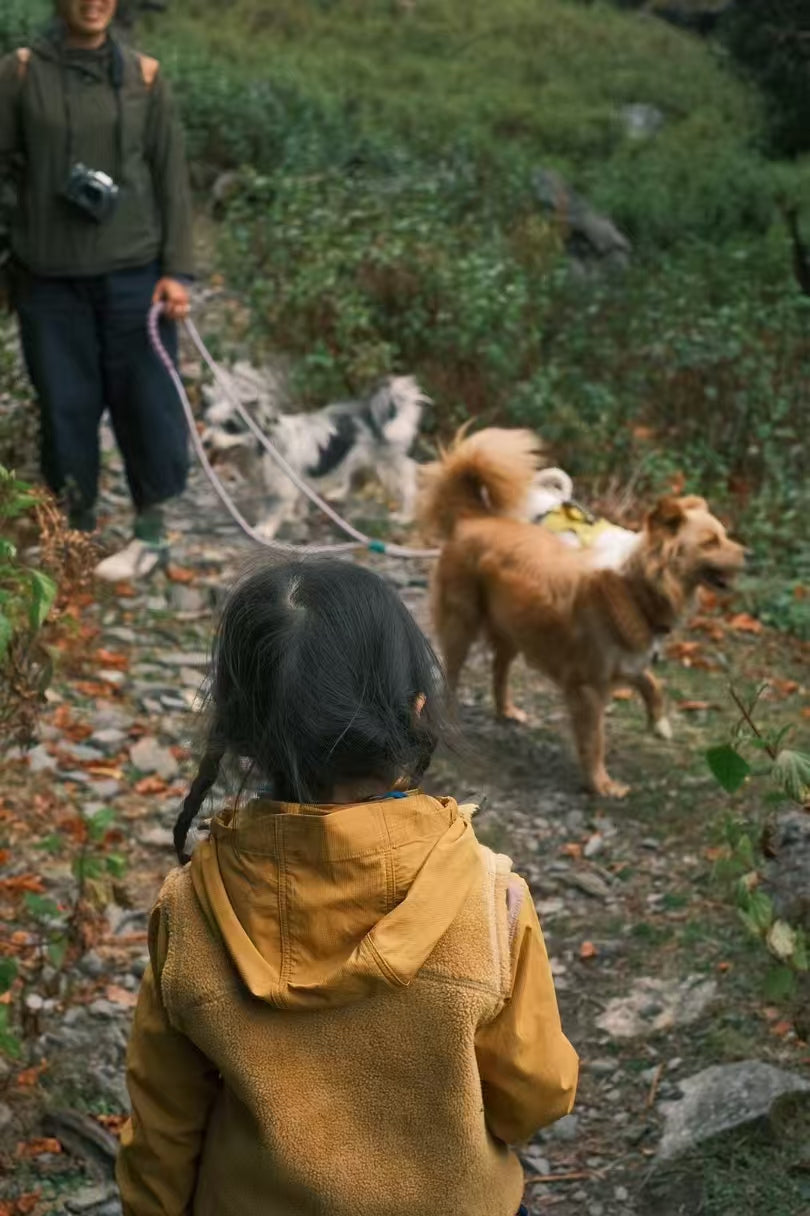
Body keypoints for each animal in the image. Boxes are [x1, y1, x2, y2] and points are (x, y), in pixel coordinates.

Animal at [201, 364, 428, 537]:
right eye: (209, 422)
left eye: (230, 426)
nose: (205, 443)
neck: (267, 445)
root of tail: (371, 413)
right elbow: (294, 503)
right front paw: (295, 516)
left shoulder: (282, 488)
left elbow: (273, 511)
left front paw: (264, 529)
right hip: (360, 460)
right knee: (355, 477)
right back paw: (340, 493)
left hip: (389, 465)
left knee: (408, 488)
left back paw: (405, 516)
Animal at [423, 428, 744, 797]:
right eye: (710, 542)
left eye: (723, 536)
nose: (749, 556)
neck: (635, 587)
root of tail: (475, 517)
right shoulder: (588, 688)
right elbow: (595, 741)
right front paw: (601, 784)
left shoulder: (626, 661)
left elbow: (652, 682)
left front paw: (658, 723)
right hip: (462, 624)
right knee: (450, 673)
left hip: (515, 624)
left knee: (499, 668)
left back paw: (506, 710)